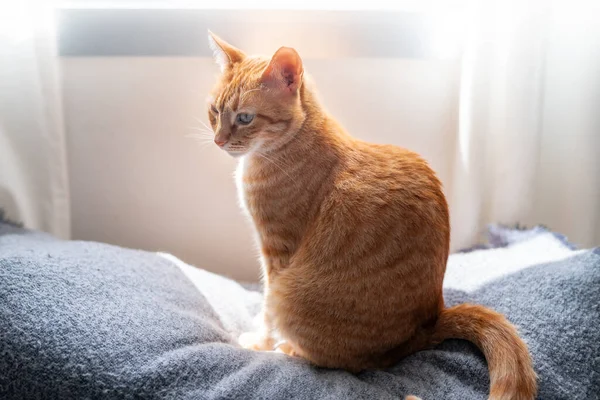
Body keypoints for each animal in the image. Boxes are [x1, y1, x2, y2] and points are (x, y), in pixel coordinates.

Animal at [207, 32, 540, 400]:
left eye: (245, 118)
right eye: (215, 111)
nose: (218, 140)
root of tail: (430, 323)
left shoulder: (277, 254)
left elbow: (267, 308)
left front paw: (260, 341)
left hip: (289, 293)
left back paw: (289, 349)